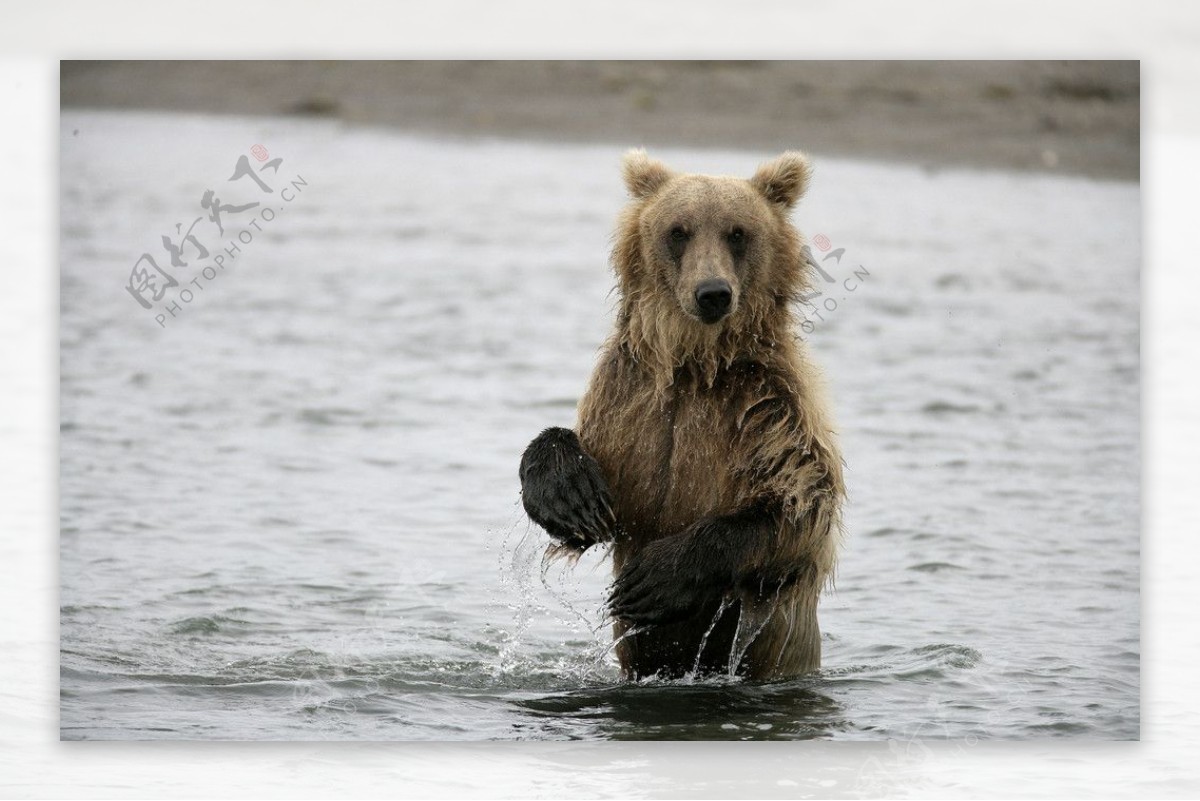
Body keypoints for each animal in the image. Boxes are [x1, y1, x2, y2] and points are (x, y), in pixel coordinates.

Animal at [518, 149, 844, 681]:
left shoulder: (769, 409)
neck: (695, 364)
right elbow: (592, 476)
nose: (712, 292)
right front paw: (571, 496)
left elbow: (798, 509)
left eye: (737, 232)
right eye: (679, 230)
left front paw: (656, 578)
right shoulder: (633, 402)